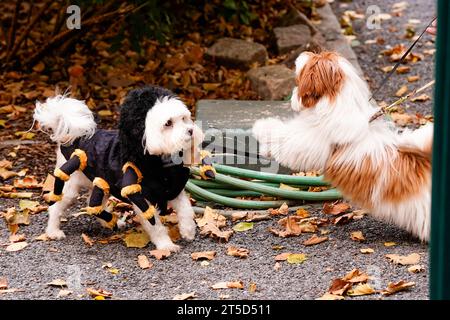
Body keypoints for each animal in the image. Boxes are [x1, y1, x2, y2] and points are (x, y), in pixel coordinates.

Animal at [33, 86, 213, 251]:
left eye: (184, 118)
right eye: (168, 123)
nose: (190, 130)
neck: (161, 167)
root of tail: (71, 137)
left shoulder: (174, 189)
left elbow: (186, 210)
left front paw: (188, 231)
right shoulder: (141, 195)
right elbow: (154, 225)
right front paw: (166, 245)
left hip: (102, 182)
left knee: (93, 203)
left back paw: (110, 222)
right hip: (72, 183)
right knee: (56, 206)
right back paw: (53, 231)